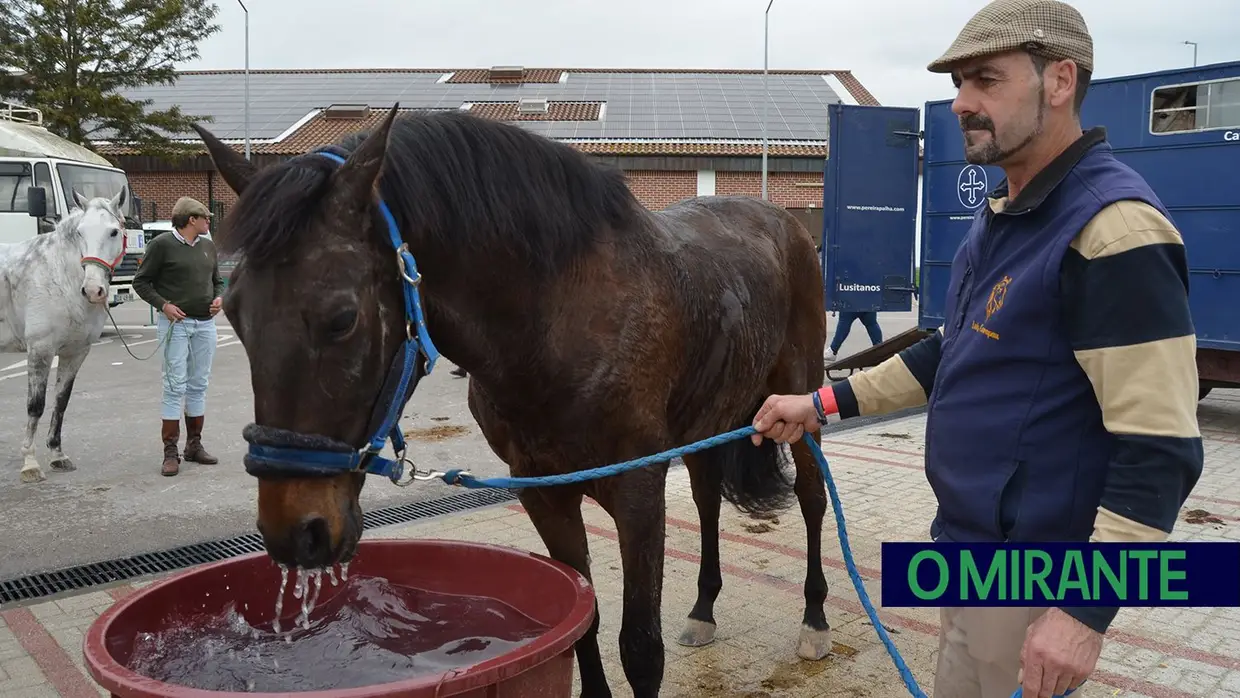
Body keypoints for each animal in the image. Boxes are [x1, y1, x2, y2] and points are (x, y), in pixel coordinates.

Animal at [0, 193, 127, 483]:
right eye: (80, 233)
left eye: (113, 232)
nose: (92, 290)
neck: (58, 279)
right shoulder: (40, 350)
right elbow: (36, 405)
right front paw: (30, 463)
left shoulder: (75, 353)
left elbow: (61, 400)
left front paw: (57, 454)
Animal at [195, 105, 833, 698]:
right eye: (234, 313)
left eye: (342, 318)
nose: (293, 533)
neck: (559, 322)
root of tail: (786, 223)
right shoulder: (543, 494)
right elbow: (584, 618)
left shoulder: (639, 492)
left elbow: (640, 647)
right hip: (708, 423)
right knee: (705, 501)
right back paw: (703, 611)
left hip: (801, 405)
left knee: (811, 498)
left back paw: (815, 621)